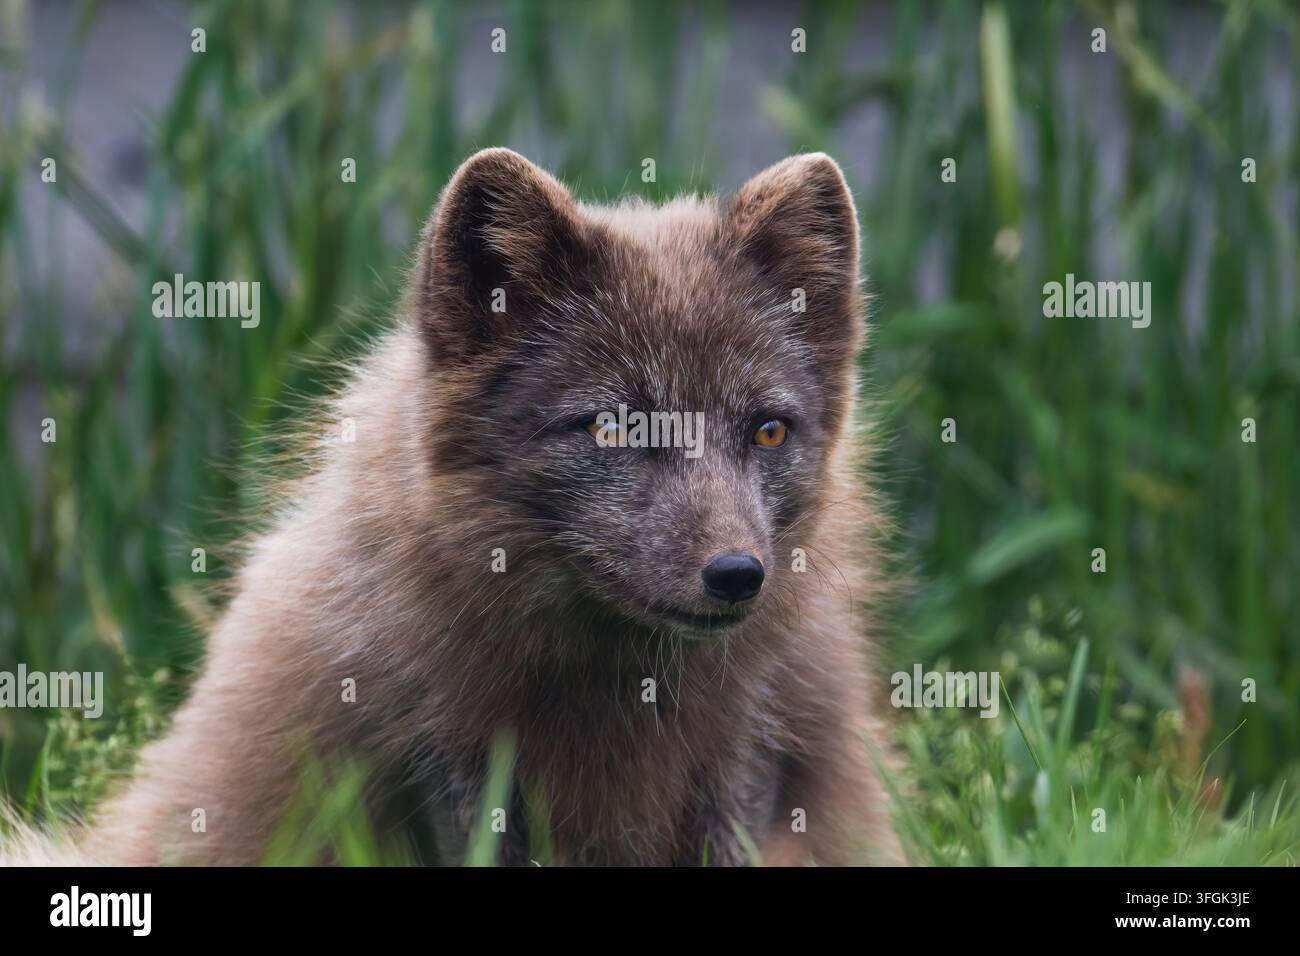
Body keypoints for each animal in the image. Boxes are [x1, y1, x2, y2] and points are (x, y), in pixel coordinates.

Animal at [3, 148, 901, 866]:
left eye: (769, 431)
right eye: (610, 426)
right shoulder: (447, 765)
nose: (737, 575)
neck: (622, 691)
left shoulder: (749, 757)